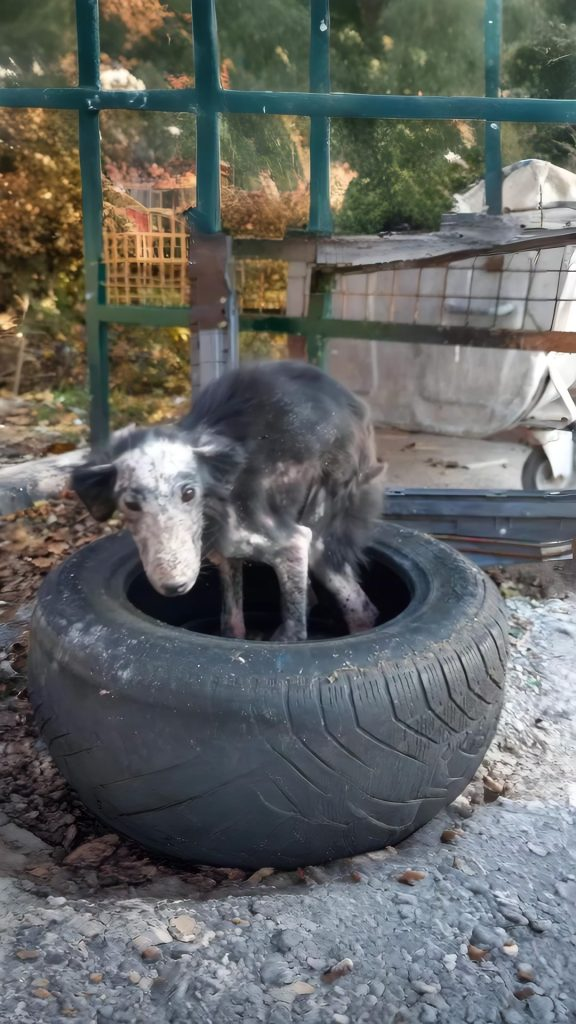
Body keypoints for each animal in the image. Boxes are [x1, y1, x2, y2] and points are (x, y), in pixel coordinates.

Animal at [72, 360, 385, 642]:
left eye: (189, 493)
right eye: (131, 505)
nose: (174, 586)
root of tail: (357, 405)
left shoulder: (292, 544)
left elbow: (295, 631)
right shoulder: (226, 556)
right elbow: (231, 625)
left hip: (321, 534)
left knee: (362, 607)